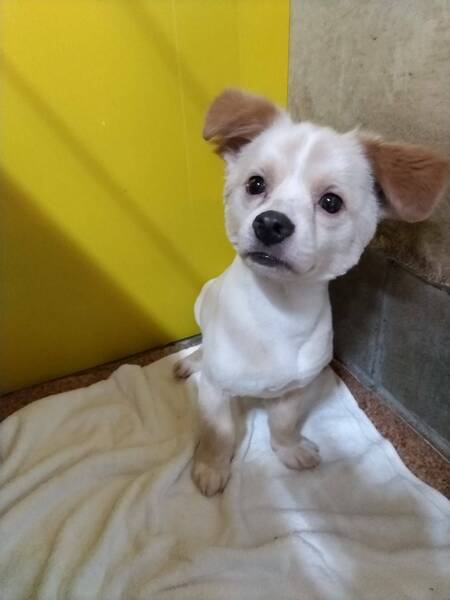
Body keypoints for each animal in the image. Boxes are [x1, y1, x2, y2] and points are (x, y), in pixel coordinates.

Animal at [174, 89, 450, 497]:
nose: (271, 223)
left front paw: (288, 450)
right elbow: (218, 433)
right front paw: (211, 467)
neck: (278, 310)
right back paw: (191, 360)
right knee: (204, 347)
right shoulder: (215, 392)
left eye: (331, 202)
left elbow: (283, 424)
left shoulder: (298, 389)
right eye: (256, 184)